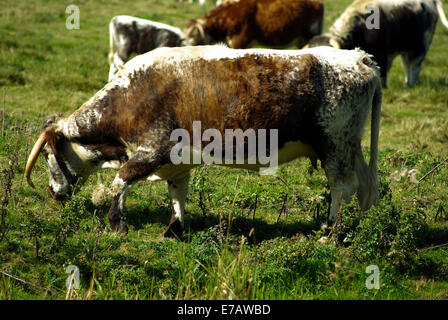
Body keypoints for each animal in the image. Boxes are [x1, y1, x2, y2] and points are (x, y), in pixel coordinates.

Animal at [24, 45, 382, 238]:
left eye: (49, 158)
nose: (52, 193)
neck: (132, 94)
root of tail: (360, 58)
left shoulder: (152, 150)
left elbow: (120, 181)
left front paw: (117, 222)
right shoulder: (176, 161)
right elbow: (177, 194)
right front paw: (174, 229)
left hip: (335, 146)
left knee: (342, 189)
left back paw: (329, 233)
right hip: (349, 148)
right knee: (358, 187)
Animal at [306, 0, 448, 87]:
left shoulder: (382, 54)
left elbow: (383, 74)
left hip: (420, 46)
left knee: (414, 66)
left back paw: (409, 86)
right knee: (407, 65)